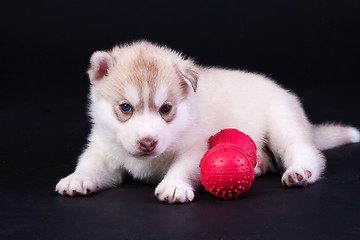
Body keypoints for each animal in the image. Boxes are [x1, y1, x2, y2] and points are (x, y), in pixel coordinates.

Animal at [54, 40, 360, 202]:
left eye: (166, 108)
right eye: (125, 107)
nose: (147, 143)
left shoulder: (195, 148)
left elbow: (184, 166)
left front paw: (174, 185)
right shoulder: (104, 148)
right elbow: (91, 164)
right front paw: (77, 178)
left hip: (283, 122)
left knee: (303, 151)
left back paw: (299, 171)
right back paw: (260, 164)